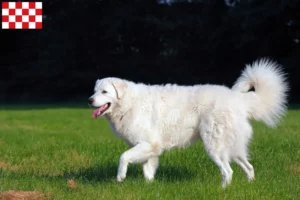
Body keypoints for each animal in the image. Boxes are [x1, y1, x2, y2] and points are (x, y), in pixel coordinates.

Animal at [88, 58, 288, 188]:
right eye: (95, 91)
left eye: (104, 92)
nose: (90, 100)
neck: (129, 103)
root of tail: (238, 99)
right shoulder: (150, 149)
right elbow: (148, 171)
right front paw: (149, 187)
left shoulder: (147, 144)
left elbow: (123, 157)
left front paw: (120, 177)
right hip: (232, 149)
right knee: (249, 167)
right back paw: (249, 184)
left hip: (214, 147)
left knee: (228, 171)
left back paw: (222, 190)